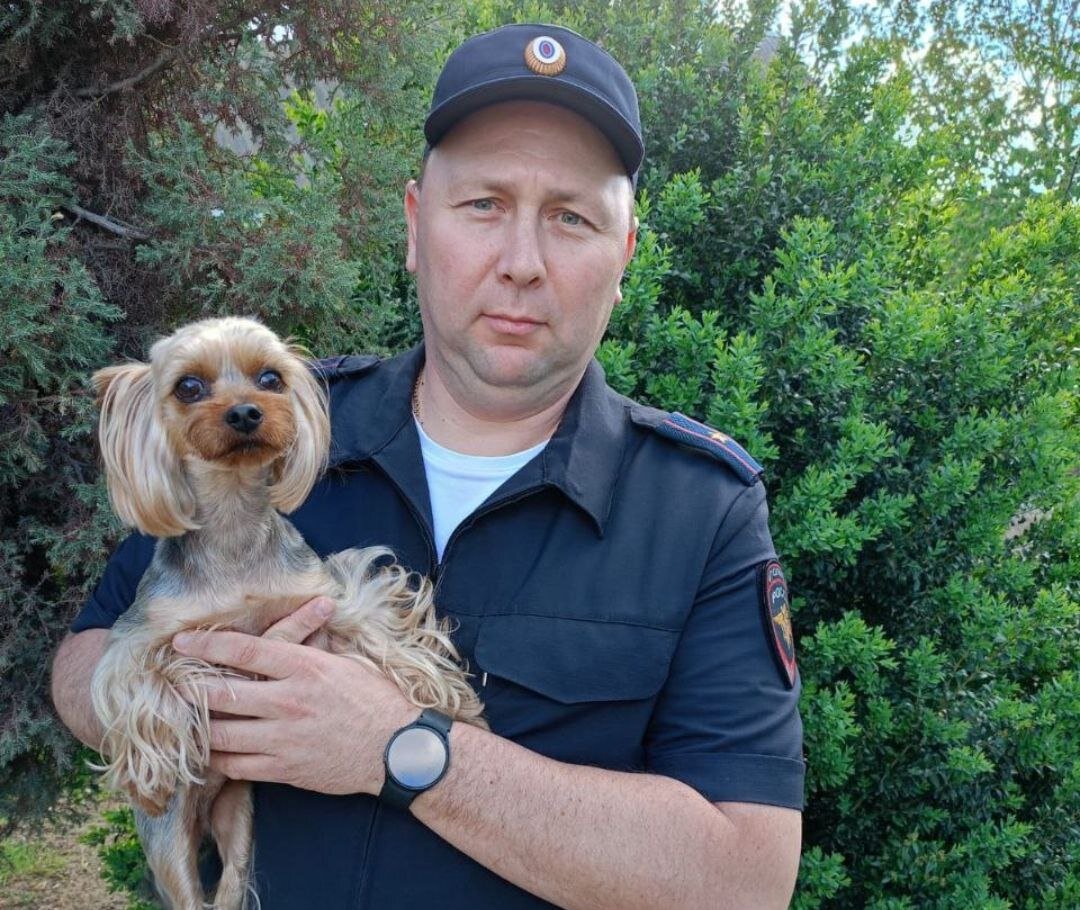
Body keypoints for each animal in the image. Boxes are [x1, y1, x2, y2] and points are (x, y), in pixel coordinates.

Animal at [88, 316, 484, 910]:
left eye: (270, 378)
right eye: (188, 387)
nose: (245, 413)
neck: (234, 526)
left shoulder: (325, 596)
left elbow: (380, 631)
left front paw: (448, 696)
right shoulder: (140, 634)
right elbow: (144, 684)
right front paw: (150, 773)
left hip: (239, 820)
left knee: (232, 883)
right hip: (171, 847)